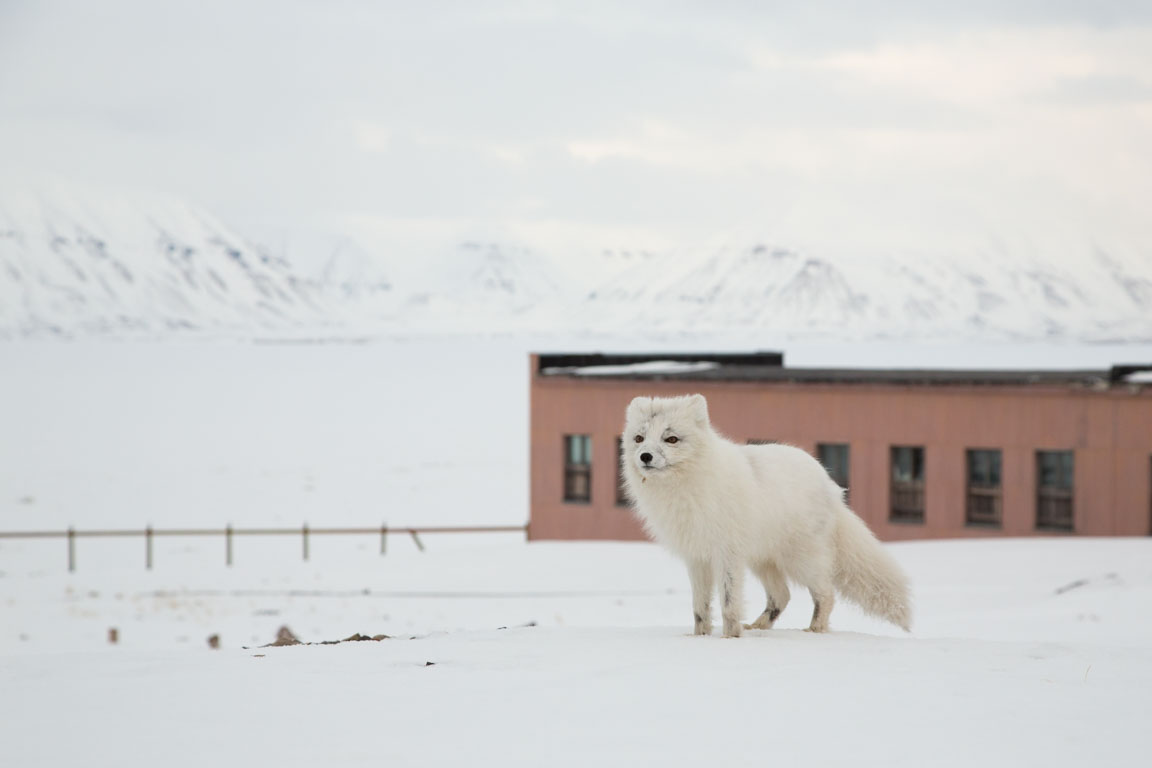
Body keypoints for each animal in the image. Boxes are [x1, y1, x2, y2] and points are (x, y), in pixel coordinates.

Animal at [622, 393, 907, 640]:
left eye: (671, 439)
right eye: (639, 438)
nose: (645, 456)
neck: (687, 487)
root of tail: (829, 484)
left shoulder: (727, 555)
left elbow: (729, 603)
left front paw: (730, 637)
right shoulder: (697, 558)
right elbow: (700, 608)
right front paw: (700, 637)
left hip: (801, 559)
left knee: (825, 593)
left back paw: (814, 630)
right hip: (764, 560)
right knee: (782, 596)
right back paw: (758, 627)